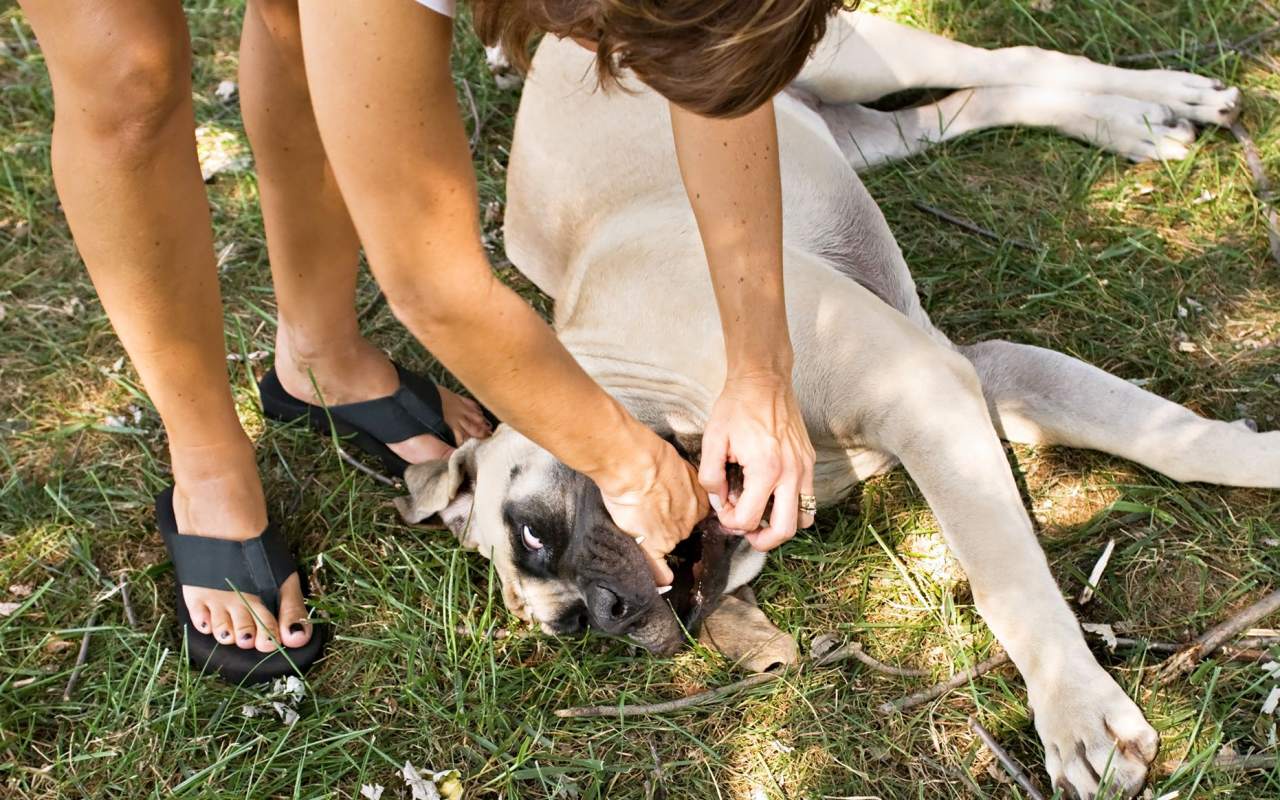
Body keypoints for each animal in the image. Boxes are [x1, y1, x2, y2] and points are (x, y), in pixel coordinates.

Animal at [401, 9, 1269, 793]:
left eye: (534, 530)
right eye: (571, 625)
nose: (611, 613)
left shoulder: (927, 391)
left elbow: (1009, 576)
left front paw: (1075, 712)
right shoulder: (985, 376)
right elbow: (1170, 438)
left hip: (847, 57)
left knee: (1011, 57)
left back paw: (1168, 95)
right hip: (854, 132)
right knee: (964, 104)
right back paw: (1132, 125)